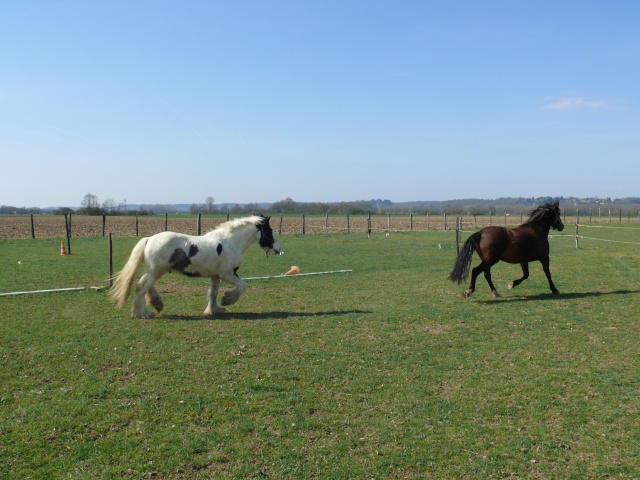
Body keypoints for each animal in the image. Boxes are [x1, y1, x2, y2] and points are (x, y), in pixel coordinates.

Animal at [110, 215, 280, 318]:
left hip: (154, 271)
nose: (278, 249)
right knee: (142, 288)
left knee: (144, 286)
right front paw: (227, 300)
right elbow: (242, 285)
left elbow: (213, 293)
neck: (230, 242)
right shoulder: (227, 274)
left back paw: (156, 304)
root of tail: (149, 239)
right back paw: (143, 313)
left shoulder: (216, 276)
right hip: (155, 272)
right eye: (269, 230)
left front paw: (214, 310)